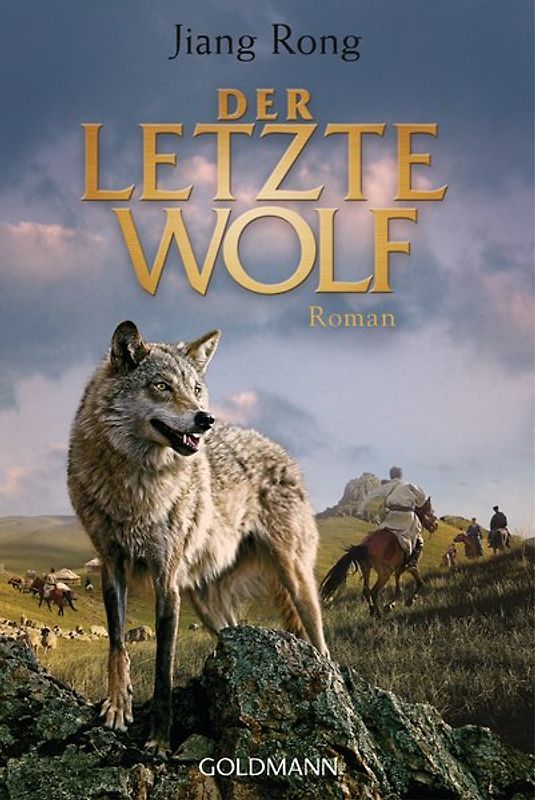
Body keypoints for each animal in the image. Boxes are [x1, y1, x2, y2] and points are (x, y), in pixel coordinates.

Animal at [68, 321, 329, 753]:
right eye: (161, 386)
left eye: (195, 388)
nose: (205, 418)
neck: (135, 485)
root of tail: (279, 450)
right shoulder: (111, 564)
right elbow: (118, 643)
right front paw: (118, 706)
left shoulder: (166, 579)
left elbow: (163, 670)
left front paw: (158, 740)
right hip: (210, 609)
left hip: (295, 577)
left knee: (322, 646)